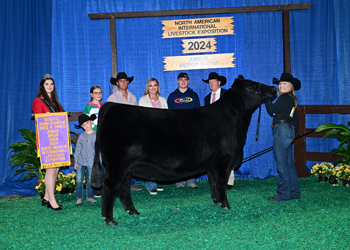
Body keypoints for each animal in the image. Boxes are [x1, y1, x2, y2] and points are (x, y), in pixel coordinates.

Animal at [91, 75, 278, 226]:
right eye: (252, 86)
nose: (274, 88)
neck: (234, 119)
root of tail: (112, 106)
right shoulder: (223, 162)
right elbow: (221, 184)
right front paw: (226, 205)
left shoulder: (212, 165)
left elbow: (214, 183)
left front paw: (216, 202)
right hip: (116, 166)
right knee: (110, 188)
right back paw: (109, 219)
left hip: (126, 169)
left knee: (123, 189)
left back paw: (133, 212)